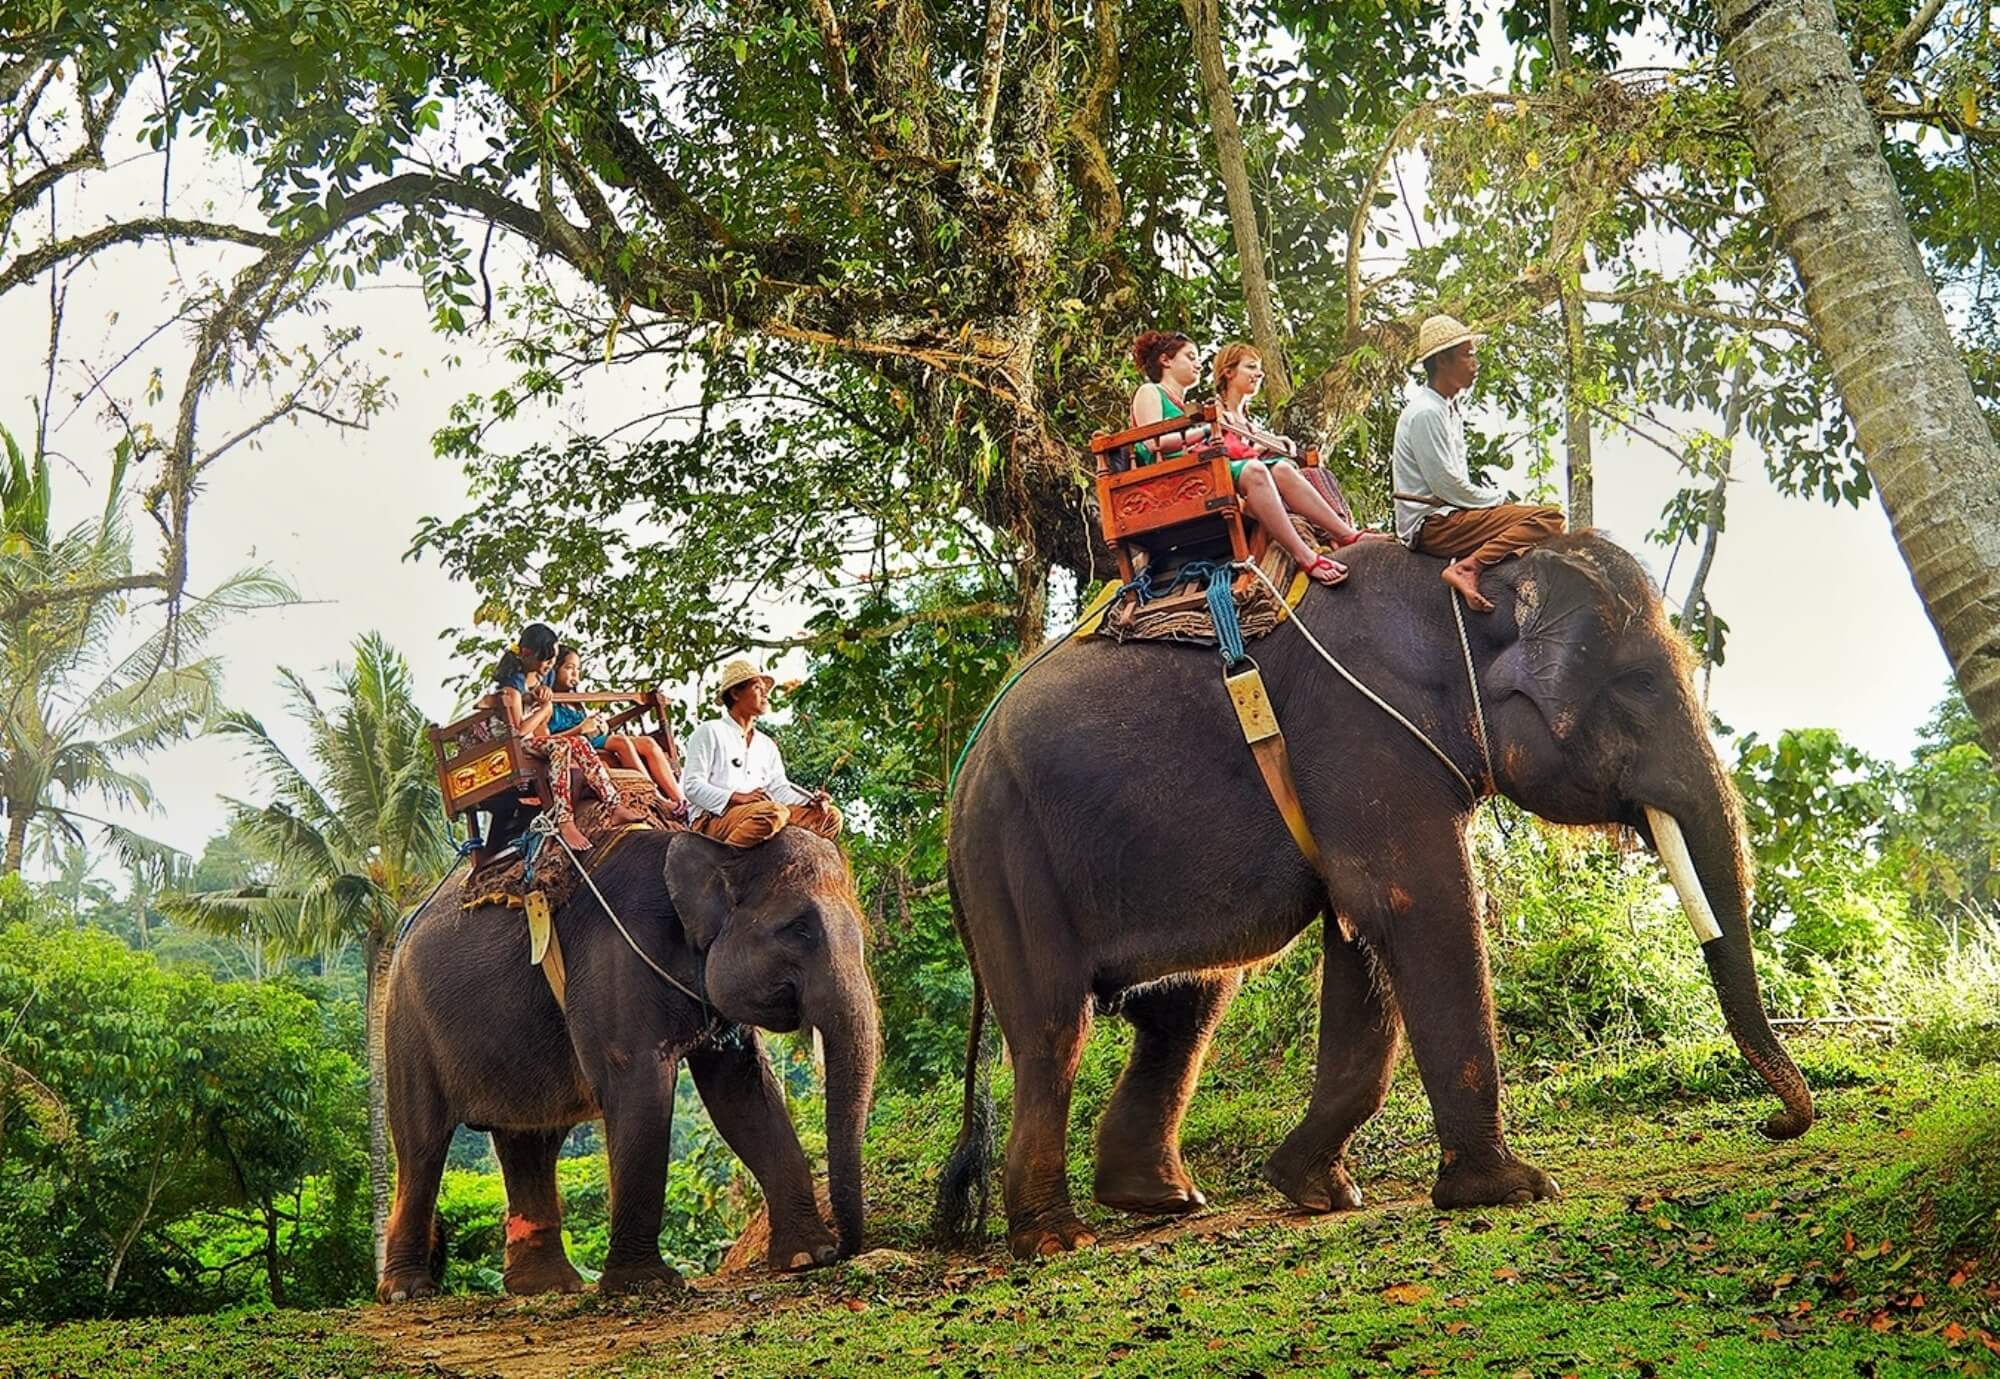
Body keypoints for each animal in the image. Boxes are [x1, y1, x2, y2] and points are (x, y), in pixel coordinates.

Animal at [376, 823, 876, 1295]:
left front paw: (807, 1257)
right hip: (405, 1026)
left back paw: (547, 1286)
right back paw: (407, 1291)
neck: (707, 846)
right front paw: (644, 1282)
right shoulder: (614, 961)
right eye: (799, 929)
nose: (846, 1248)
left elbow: (742, 1094)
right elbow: (641, 1087)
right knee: (422, 1145)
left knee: (531, 1141)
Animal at [936, 527, 1816, 1255]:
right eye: (1636, 685)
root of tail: (958, 783)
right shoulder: (1362, 733)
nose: (1774, 1122)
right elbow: (1416, 904)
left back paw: (1163, 1199)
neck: (1459, 591)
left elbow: (1360, 937)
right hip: (1009, 856)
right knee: (1054, 1029)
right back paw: (1056, 1239)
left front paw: (1316, 1190)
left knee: (1188, 1004)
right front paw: (1514, 1190)